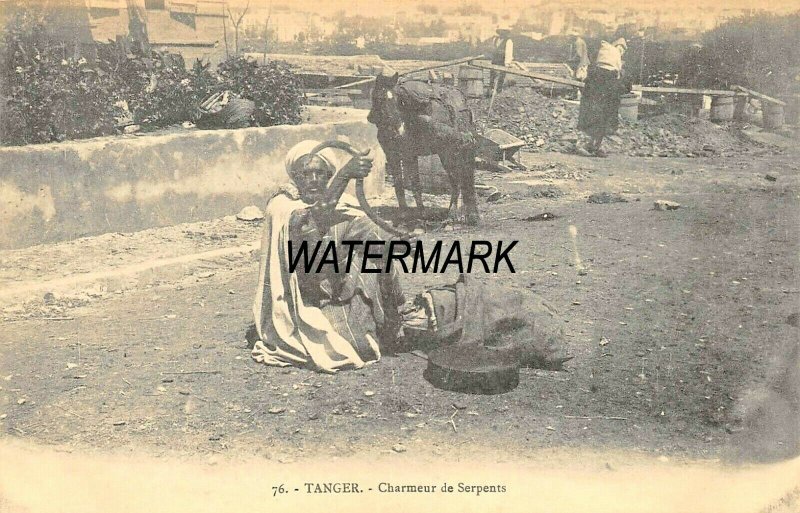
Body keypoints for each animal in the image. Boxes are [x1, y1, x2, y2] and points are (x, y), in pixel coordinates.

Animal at [366, 72, 478, 224]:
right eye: (378, 98)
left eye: (396, 99)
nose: (396, 132)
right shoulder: (398, 154)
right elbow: (406, 183)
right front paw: (413, 213)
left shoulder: (403, 154)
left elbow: (410, 183)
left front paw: (412, 213)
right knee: (462, 179)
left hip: (449, 153)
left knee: (457, 180)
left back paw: (452, 214)